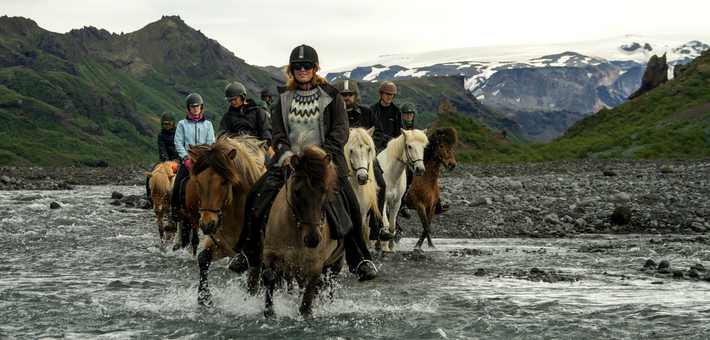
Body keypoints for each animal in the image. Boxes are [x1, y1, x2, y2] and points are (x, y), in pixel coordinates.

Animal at [188, 136, 266, 308]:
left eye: (224, 181)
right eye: (197, 182)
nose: (207, 224)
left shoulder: (256, 257)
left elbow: (252, 285)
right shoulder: (221, 246)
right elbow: (203, 258)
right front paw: (204, 297)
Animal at [264, 147, 348, 318]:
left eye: (325, 190)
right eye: (296, 191)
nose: (313, 240)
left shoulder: (314, 265)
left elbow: (307, 301)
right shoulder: (271, 251)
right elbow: (269, 274)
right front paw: (269, 311)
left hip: (336, 262)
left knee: (329, 285)